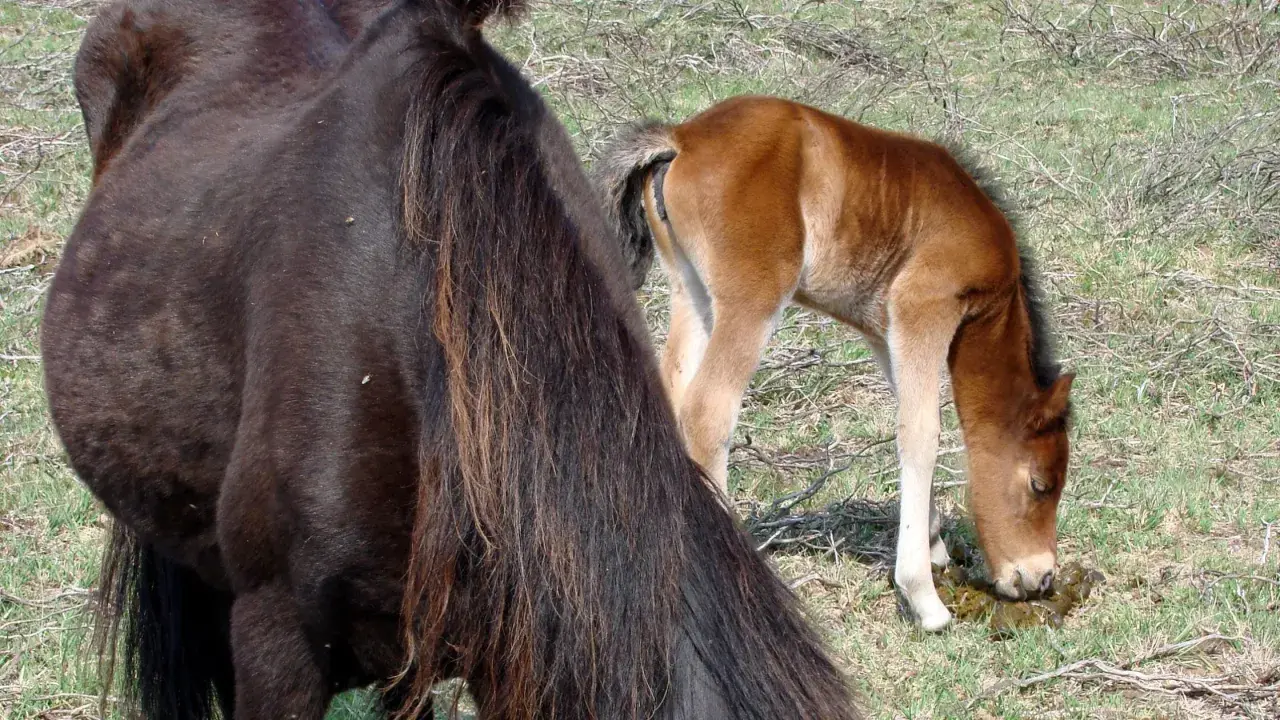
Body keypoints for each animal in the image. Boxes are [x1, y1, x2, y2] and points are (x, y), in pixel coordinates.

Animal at [596, 95, 1076, 631]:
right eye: (1040, 484)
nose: (1040, 578)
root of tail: (682, 136)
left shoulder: (885, 332)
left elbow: (914, 421)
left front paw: (933, 545)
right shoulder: (923, 308)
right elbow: (922, 436)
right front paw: (924, 597)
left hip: (692, 292)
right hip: (753, 298)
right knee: (708, 412)